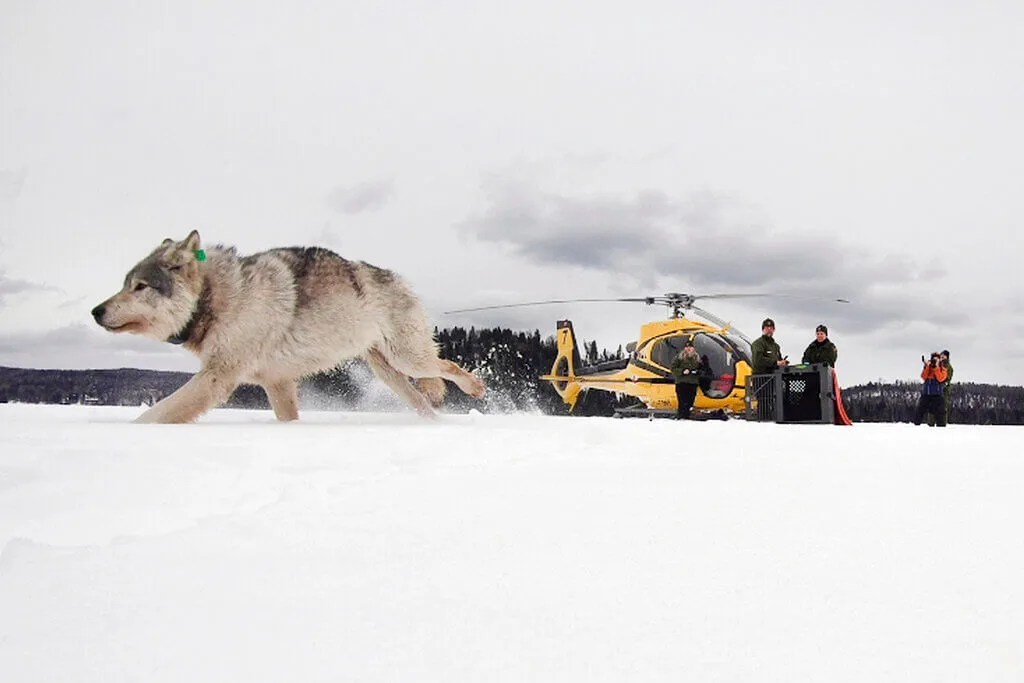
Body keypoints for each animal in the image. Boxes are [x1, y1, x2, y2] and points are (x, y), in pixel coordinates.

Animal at [91, 231, 485, 423]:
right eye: (124, 283)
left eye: (140, 286)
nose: (96, 311)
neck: (218, 297)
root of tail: (397, 277)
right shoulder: (276, 382)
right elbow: (287, 419)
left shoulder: (217, 377)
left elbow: (154, 415)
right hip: (389, 373)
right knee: (424, 400)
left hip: (408, 360)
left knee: (448, 366)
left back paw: (476, 387)